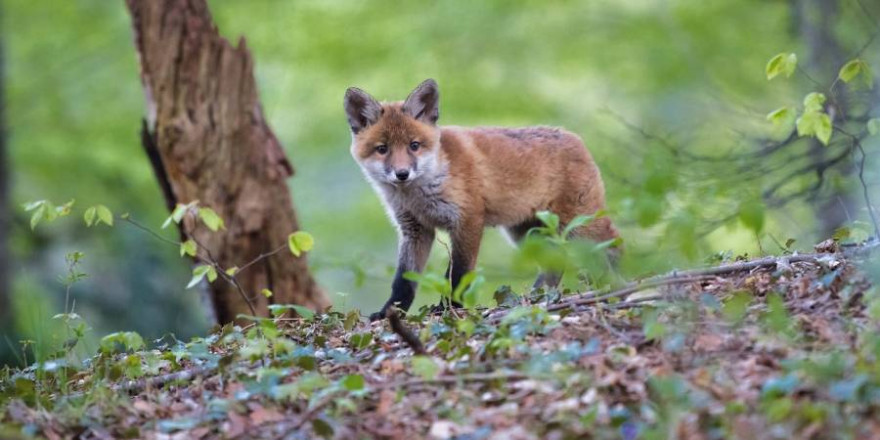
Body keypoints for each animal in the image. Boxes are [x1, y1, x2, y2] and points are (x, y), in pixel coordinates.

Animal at [344, 79, 620, 320]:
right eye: (382, 149)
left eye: (414, 145)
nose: (402, 174)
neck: (419, 195)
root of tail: (574, 137)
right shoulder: (415, 230)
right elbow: (403, 281)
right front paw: (390, 312)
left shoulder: (468, 220)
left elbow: (458, 275)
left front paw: (449, 308)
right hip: (527, 234)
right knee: (555, 264)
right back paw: (536, 298)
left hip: (579, 226)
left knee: (614, 245)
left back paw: (616, 286)